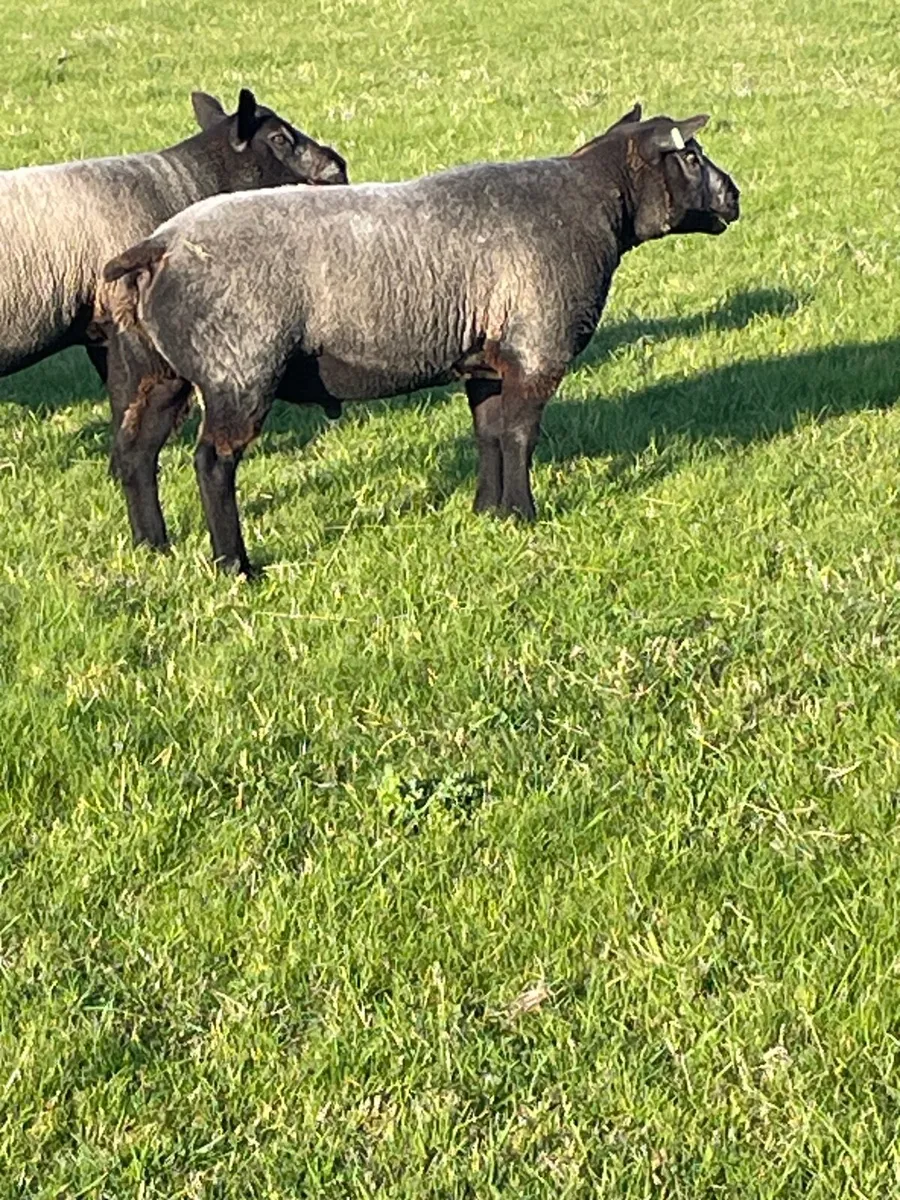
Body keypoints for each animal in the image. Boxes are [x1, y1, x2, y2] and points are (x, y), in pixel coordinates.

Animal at [104, 105, 740, 575]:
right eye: (690, 155)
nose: (734, 196)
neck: (593, 204)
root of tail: (159, 246)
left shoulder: (488, 362)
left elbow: (488, 435)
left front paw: (488, 513)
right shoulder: (536, 350)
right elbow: (520, 436)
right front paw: (524, 515)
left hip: (156, 372)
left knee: (136, 452)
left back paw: (152, 546)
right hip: (238, 371)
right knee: (212, 463)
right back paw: (235, 565)